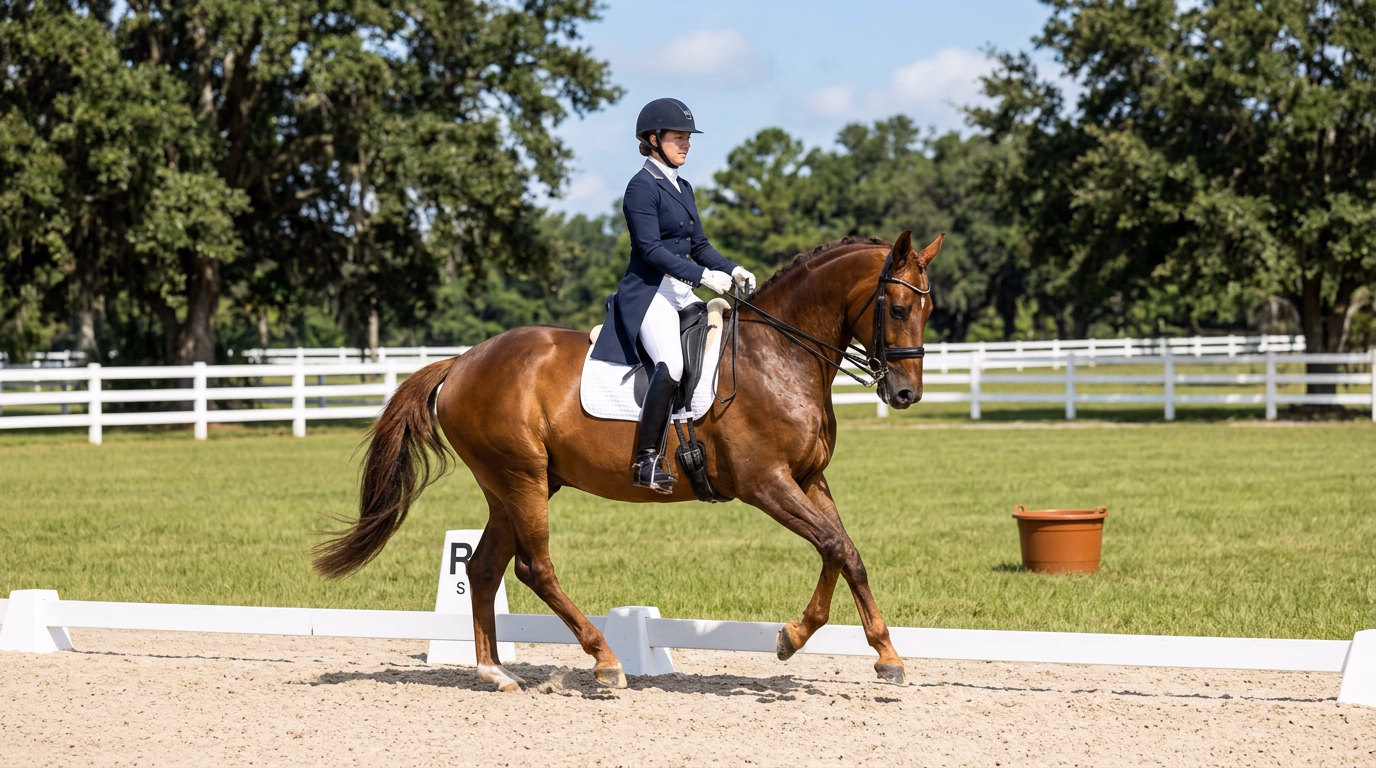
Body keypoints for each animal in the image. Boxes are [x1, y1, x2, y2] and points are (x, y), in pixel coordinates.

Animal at [313, 230, 942, 692]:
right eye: (897, 307)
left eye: (927, 309)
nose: (904, 394)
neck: (779, 355)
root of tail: (463, 360)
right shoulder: (766, 484)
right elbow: (833, 545)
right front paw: (804, 639)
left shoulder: (809, 479)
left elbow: (844, 552)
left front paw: (874, 651)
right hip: (521, 479)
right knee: (534, 568)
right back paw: (604, 661)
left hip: (514, 485)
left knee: (485, 568)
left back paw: (496, 673)